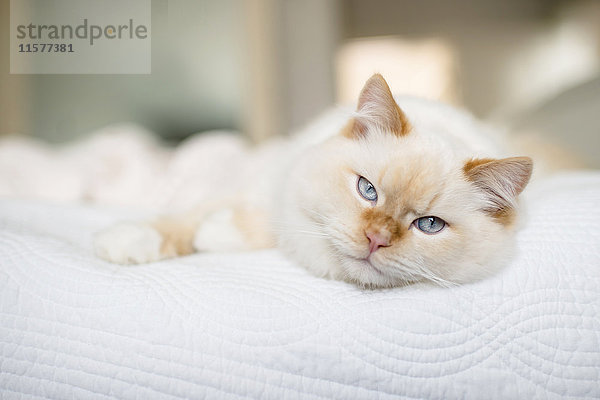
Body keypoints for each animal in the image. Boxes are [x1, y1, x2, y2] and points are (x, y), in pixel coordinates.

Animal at [96, 74, 532, 288]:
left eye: (428, 225)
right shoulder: (264, 184)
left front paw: (218, 234)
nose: (376, 239)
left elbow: (256, 229)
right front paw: (126, 241)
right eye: (367, 191)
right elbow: (180, 220)